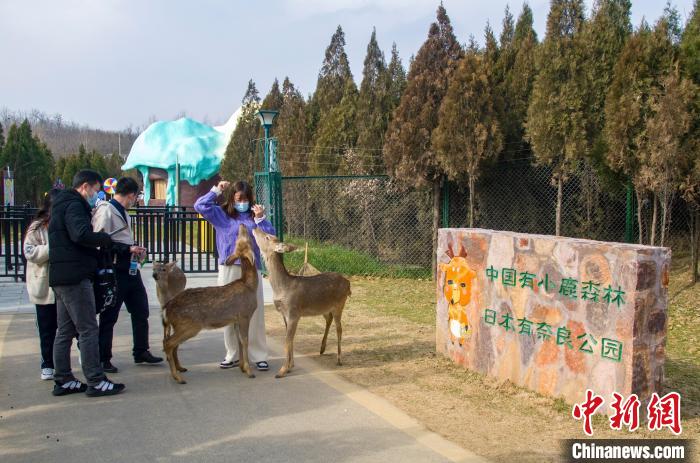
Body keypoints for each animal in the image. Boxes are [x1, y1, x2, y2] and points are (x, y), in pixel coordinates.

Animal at [163, 225, 258, 384]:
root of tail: (166, 309)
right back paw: (178, 377)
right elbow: (245, 341)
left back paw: (180, 369)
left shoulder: (236, 319)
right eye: (244, 240)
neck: (249, 285)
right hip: (189, 324)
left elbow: (239, 341)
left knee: (171, 344)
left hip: (179, 326)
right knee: (168, 343)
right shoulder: (245, 315)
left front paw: (242, 368)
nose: (242, 225)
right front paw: (249, 371)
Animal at [252, 227, 350, 378]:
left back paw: (339, 359)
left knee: (339, 328)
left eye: (268, 237)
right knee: (329, 319)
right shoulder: (285, 314)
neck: (282, 288)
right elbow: (290, 339)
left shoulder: (294, 312)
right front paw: (290, 366)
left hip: (340, 304)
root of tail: (348, 283)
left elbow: (287, 340)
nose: (255, 228)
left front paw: (282, 370)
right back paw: (322, 349)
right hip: (324, 307)